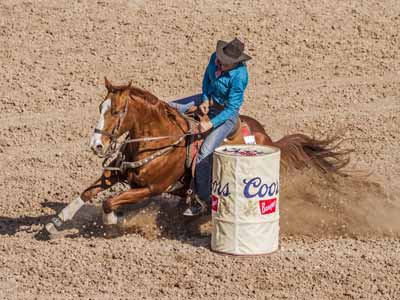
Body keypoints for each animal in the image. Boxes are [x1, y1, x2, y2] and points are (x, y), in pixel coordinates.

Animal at [44, 77, 350, 234]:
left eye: (117, 112)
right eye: (100, 106)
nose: (96, 145)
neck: (158, 139)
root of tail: (268, 138)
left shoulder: (150, 188)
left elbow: (109, 203)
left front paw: (114, 221)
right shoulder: (118, 173)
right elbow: (86, 193)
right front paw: (55, 222)